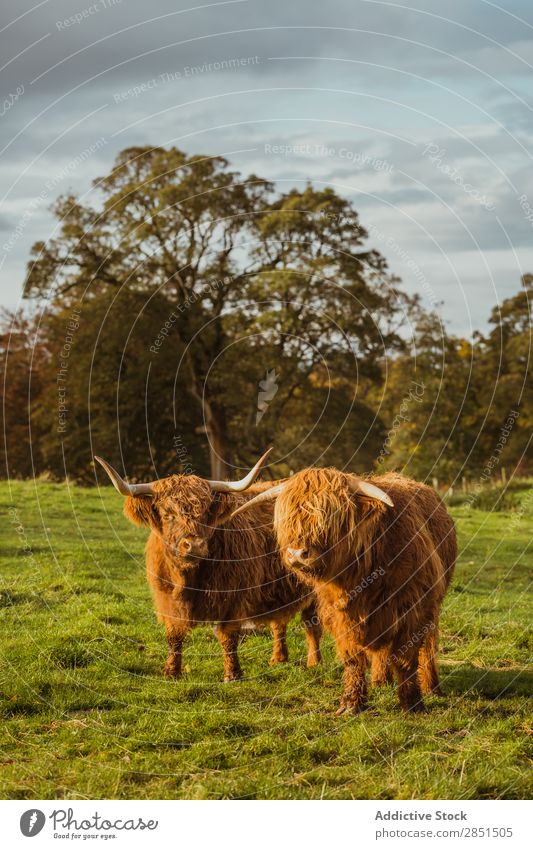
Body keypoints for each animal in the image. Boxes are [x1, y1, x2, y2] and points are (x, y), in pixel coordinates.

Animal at [94, 450, 320, 684]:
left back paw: (314, 662)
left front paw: (232, 675)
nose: (194, 545)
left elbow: (228, 636)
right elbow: (174, 635)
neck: (187, 577)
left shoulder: (233, 597)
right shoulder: (168, 600)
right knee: (279, 622)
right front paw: (171, 671)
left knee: (311, 624)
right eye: (167, 514)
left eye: (204, 513)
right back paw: (278, 659)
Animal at [233, 468, 458, 712]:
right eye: (289, 517)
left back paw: (431, 687)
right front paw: (351, 704)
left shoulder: (413, 609)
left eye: (330, 516)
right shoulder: (341, 615)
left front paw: (412, 703)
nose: (296, 554)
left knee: (428, 645)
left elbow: (406, 658)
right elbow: (353, 659)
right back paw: (380, 680)